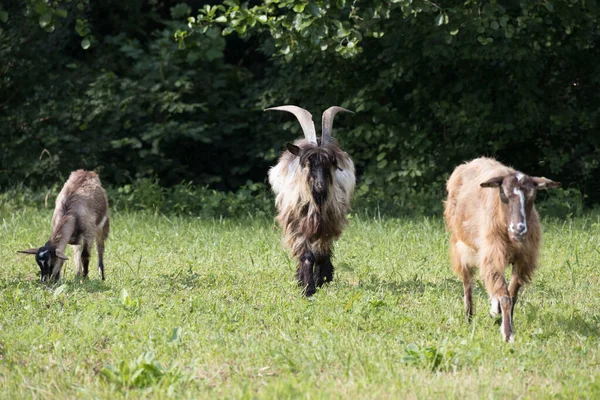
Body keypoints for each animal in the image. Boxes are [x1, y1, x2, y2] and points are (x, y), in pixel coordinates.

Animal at [264, 104, 354, 296]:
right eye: (308, 163)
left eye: (331, 163)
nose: (321, 185)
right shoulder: (296, 223)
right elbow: (306, 255)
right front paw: (307, 288)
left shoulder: (328, 224)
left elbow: (321, 253)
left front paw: (321, 279)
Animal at [442, 158, 560, 342]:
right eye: (503, 194)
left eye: (532, 196)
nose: (519, 229)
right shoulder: (493, 253)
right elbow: (504, 296)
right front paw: (507, 334)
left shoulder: (522, 260)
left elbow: (512, 295)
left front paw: (505, 322)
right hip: (461, 246)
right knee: (468, 283)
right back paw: (469, 317)